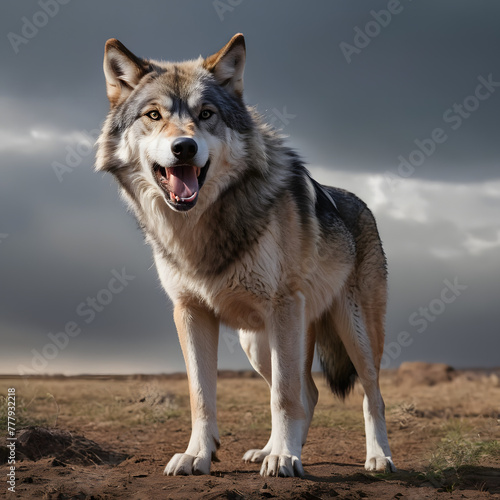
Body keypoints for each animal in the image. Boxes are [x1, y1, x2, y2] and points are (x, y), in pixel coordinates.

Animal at [96, 32, 394, 476]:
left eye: (206, 114)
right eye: (153, 115)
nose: (184, 147)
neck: (199, 230)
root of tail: (360, 202)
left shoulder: (283, 306)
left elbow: (283, 398)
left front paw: (285, 458)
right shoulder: (190, 312)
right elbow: (202, 397)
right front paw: (199, 456)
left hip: (352, 333)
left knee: (369, 394)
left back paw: (376, 457)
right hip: (259, 345)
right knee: (309, 392)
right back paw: (269, 450)